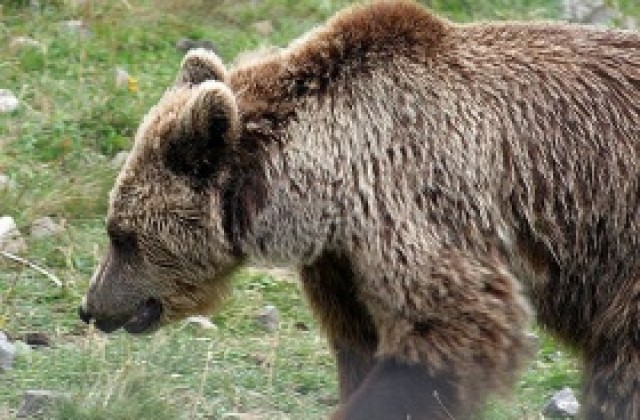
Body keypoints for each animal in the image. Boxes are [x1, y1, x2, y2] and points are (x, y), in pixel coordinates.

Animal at [77, 1, 636, 418]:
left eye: (120, 235)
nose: (91, 306)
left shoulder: (411, 196)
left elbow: (453, 325)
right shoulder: (342, 262)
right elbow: (359, 344)